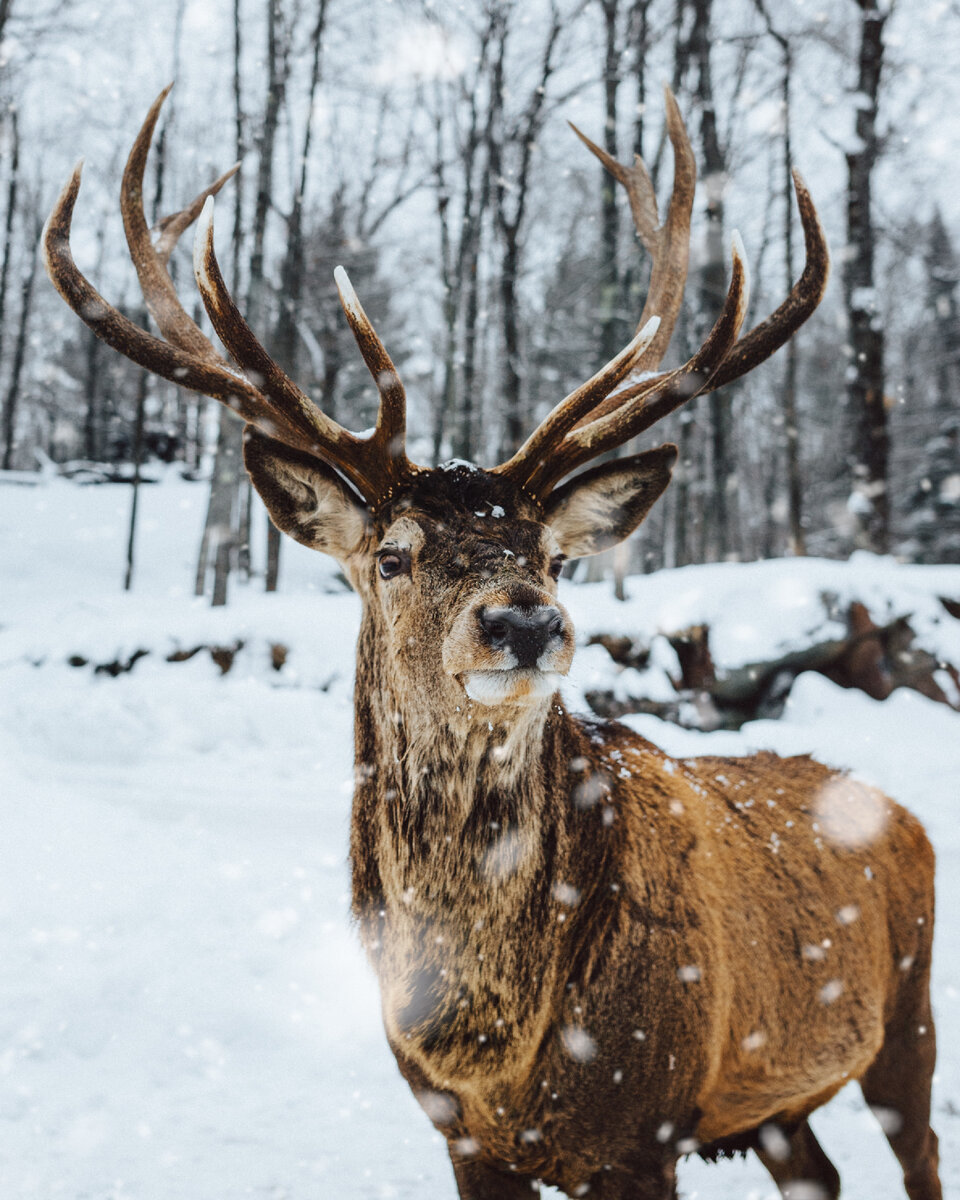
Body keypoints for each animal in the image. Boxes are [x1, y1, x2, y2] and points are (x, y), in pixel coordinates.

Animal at [43, 87, 936, 1200]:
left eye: (554, 556)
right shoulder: (458, 1133)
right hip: (778, 1104)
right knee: (820, 1172)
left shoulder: (648, 1125)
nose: (524, 620)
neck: (492, 1046)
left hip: (909, 1021)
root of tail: (901, 811)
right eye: (391, 555)